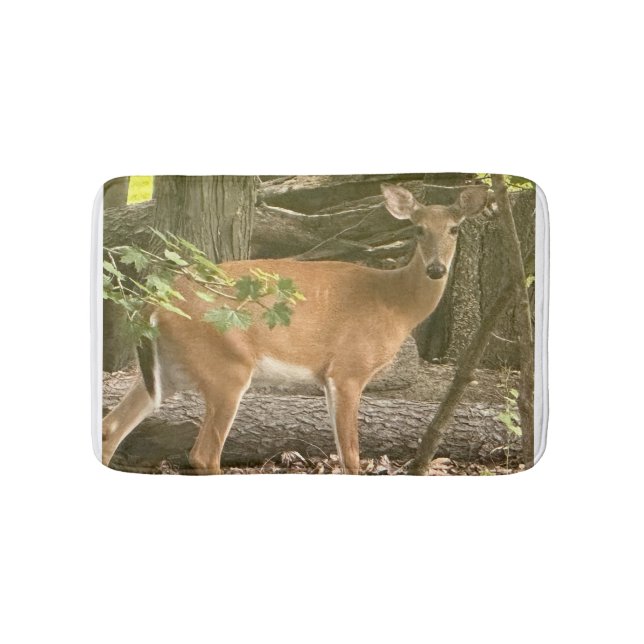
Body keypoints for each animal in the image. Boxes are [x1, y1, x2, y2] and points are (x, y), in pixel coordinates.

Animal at [102, 183, 489, 474]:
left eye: (454, 229)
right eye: (418, 229)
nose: (436, 269)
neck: (394, 303)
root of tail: (156, 301)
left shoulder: (328, 377)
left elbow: (342, 452)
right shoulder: (349, 368)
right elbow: (351, 456)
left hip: (170, 370)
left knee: (111, 426)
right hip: (227, 364)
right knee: (203, 454)